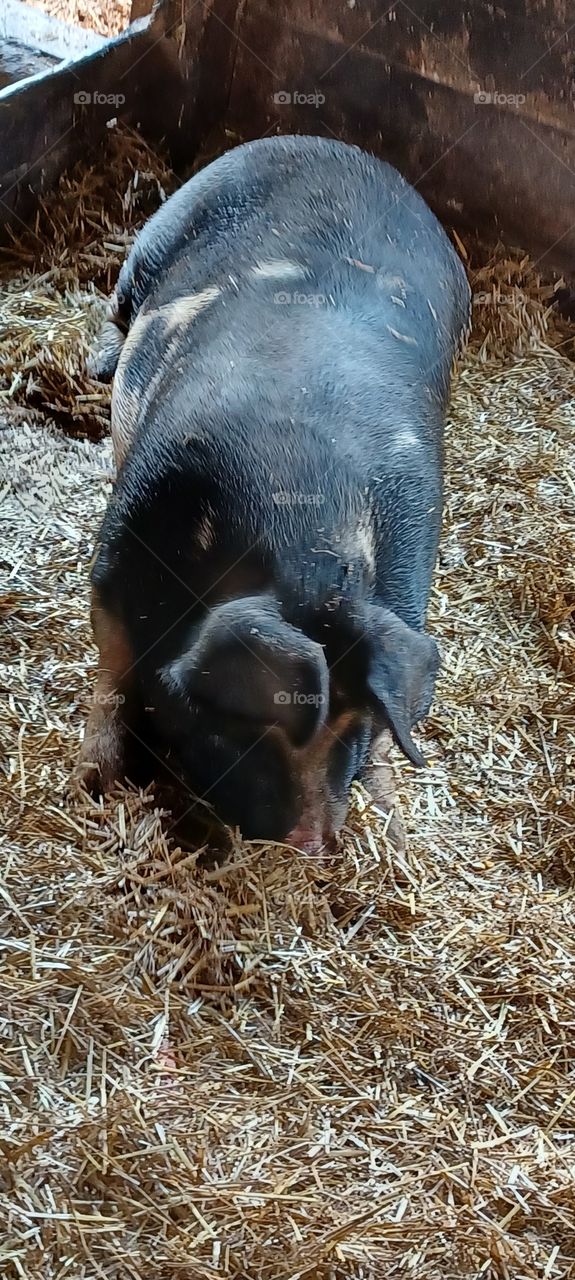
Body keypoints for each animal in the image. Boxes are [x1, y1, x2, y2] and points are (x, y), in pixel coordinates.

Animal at [79, 133, 470, 852]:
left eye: (354, 728)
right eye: (250, 730)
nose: (312, 842)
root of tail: (332, 146)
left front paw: (396, 830)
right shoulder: (117, 547)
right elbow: (113, 667)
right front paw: (92, 782)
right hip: (161, 232)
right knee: (120, 304)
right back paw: (99, 362)